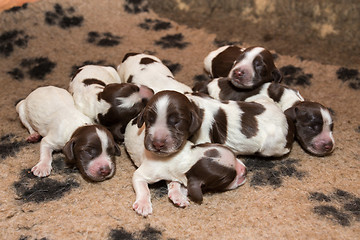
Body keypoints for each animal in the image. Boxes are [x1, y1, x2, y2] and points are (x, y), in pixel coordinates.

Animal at [136, 90, 294, 158]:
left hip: (271, 146)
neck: (194, 105)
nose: (157, 144)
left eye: (177, 122)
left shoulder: (204, 138)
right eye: (149, 120)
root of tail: (284, 117)